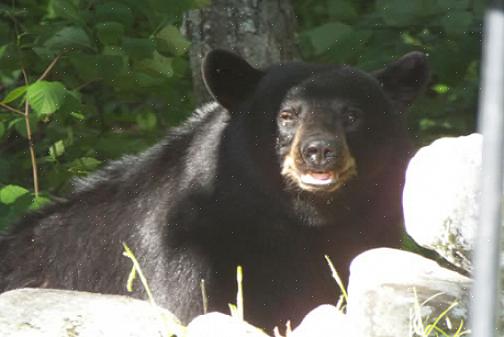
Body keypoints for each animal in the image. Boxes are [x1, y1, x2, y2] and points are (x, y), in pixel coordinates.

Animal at [0, 49, 430, 328]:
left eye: (353, 115)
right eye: (287, 115)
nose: (319, 151)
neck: (302, 221)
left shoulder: (363, 238)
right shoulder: (194, 248)